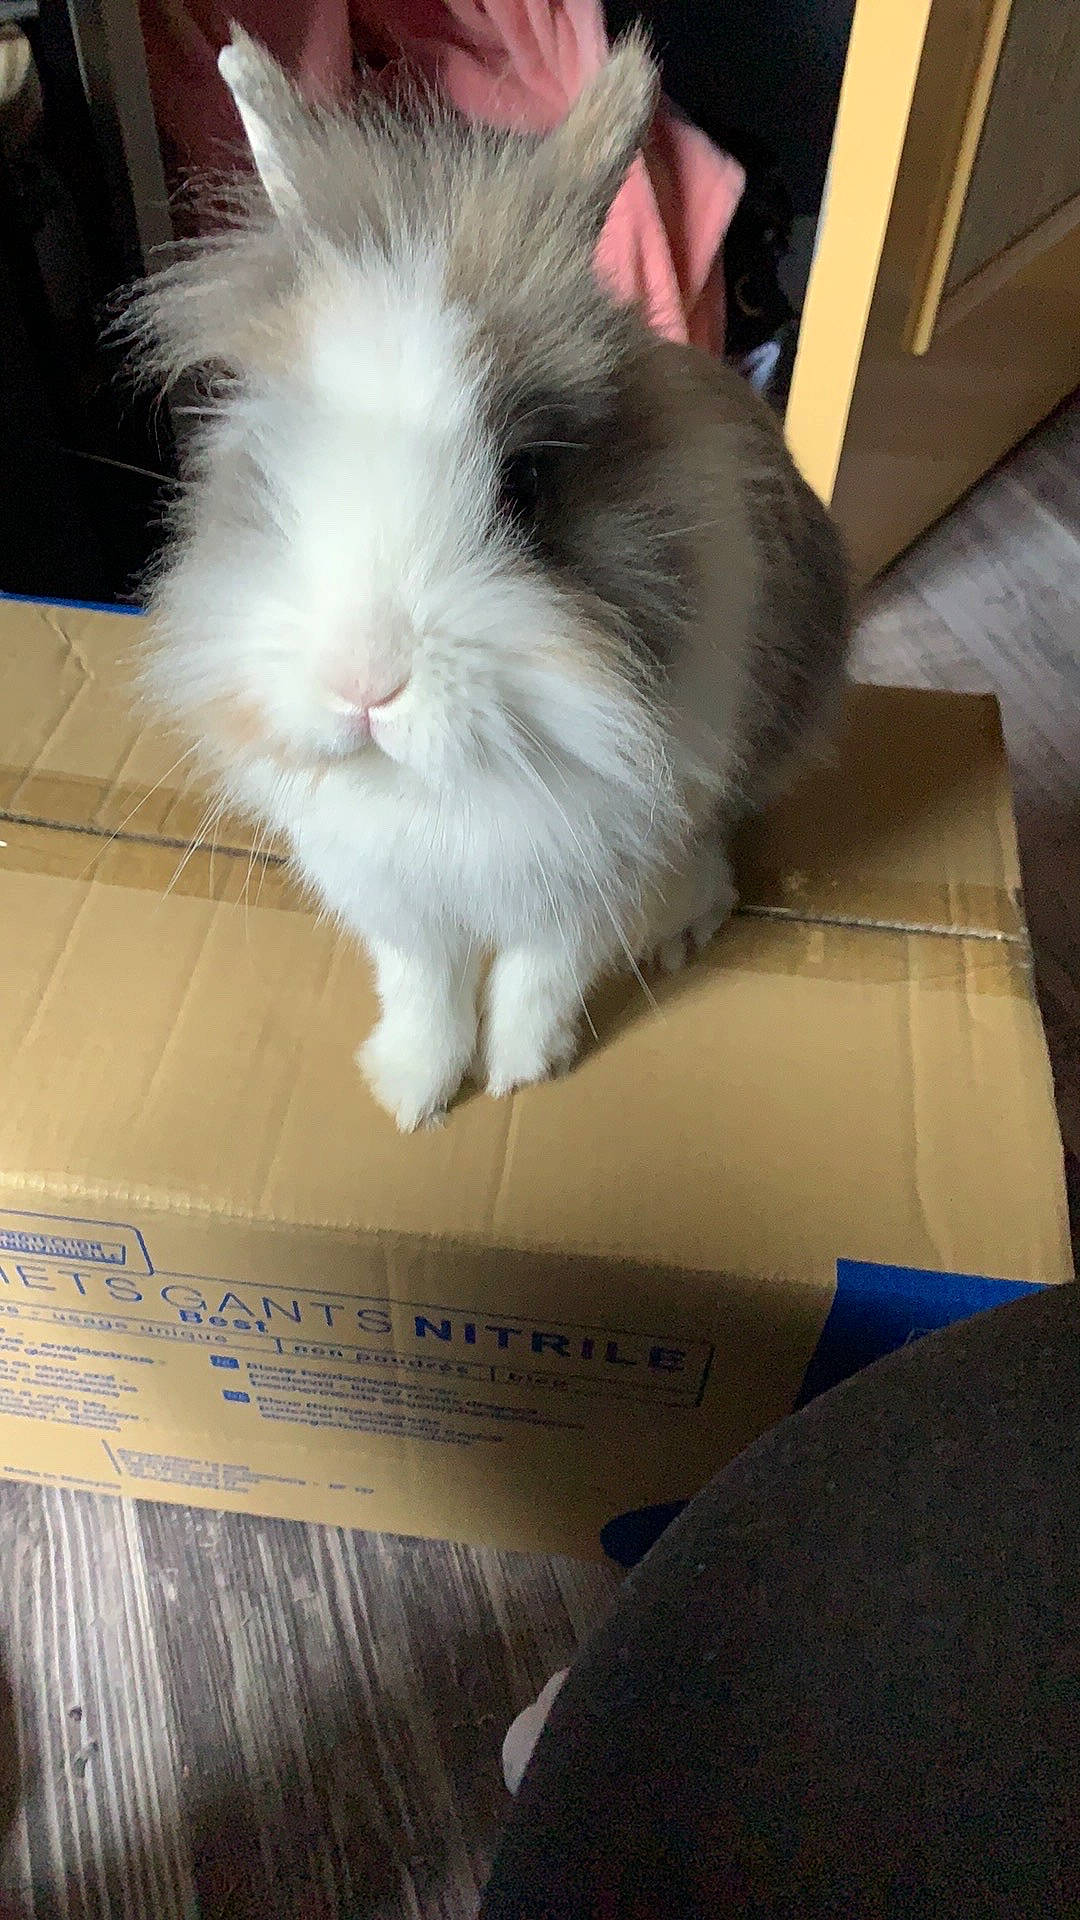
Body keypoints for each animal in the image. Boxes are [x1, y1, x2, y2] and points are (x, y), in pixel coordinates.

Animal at [124, 29, 850, 1132]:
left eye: (526, 482)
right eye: (276, 459)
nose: (365, 685)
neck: (451, 778)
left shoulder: (586, 876)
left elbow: (536, 979)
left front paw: (517, 1073)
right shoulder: (397, 900)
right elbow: (424, 988)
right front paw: (412, 1094)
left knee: (713, 846)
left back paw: (680, 925)